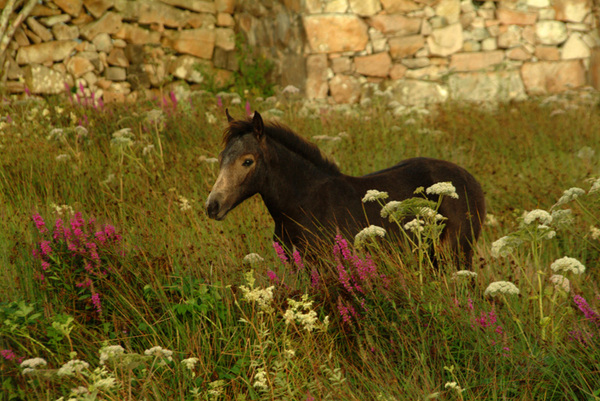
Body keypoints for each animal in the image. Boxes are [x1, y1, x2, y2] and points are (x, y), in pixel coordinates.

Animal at [206, 110, 488, 266]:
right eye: (220, 158)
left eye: (247, 161)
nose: (212, 206)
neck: (304, 204)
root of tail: (471, 180)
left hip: (457, 252)